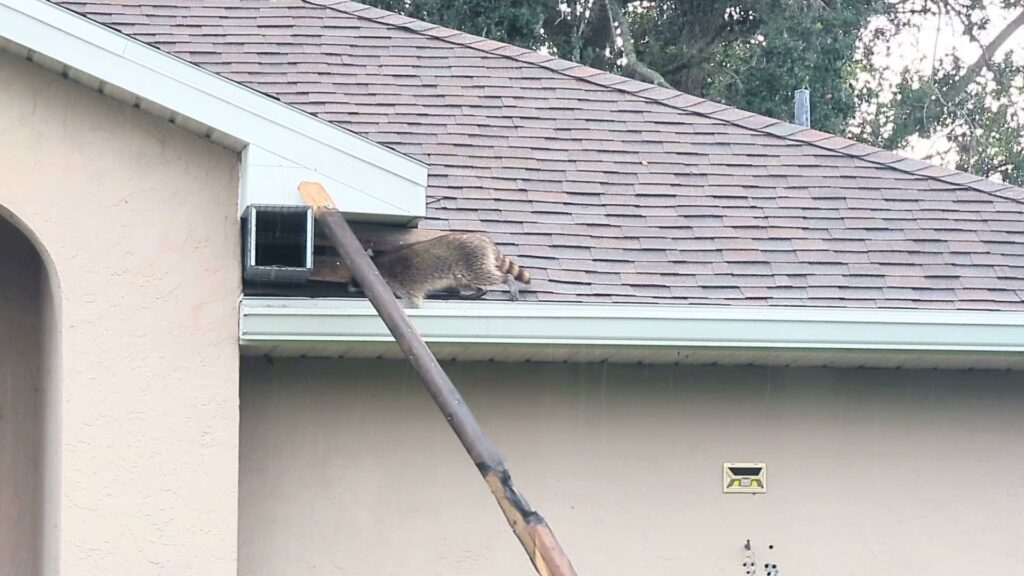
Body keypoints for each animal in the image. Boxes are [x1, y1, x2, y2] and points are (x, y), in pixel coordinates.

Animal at [370, 232, 531, 308]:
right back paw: (479, 292)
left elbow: (412, 301)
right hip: (462, 272)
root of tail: (482, 238)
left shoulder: (401, 282)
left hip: (472, 261)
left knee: (486, 276)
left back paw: (508, 280)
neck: (378, 263)